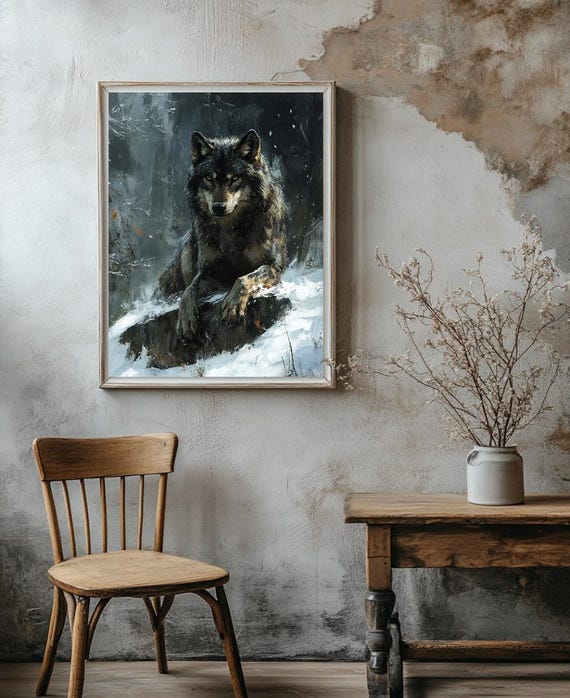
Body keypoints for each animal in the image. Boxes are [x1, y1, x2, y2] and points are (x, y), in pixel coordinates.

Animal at [158, 129, 287, 344]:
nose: (218, 207)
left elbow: (244, 278)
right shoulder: (208, 271)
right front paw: (185, 320)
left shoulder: (273, 266)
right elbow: (188, 291)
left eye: (234, 178)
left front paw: (232, 305)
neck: (230, 231)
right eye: (209, 178)